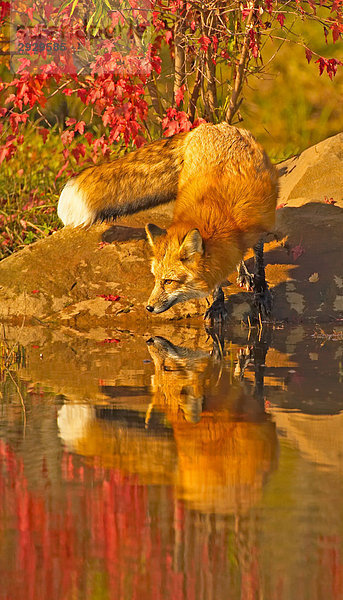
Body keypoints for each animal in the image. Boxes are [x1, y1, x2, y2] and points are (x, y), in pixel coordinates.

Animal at [58, 119, 280, 322]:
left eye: (169, 281)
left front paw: (262, 294)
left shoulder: (260, 227)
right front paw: (218, 303)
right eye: (156, 279)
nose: (148, 307)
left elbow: (259, 264)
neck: (218, 209)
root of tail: (211, 125)